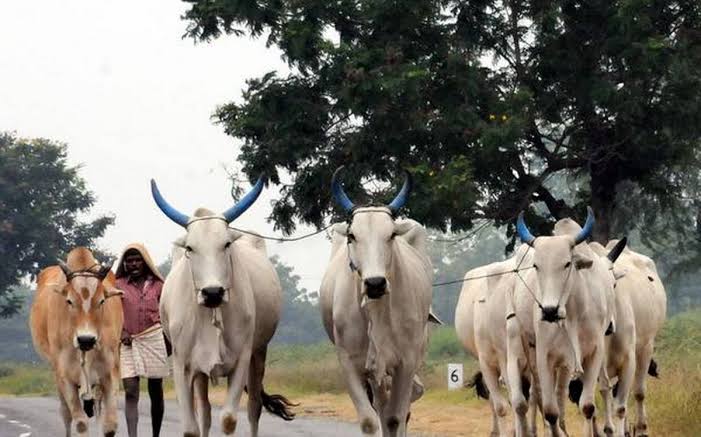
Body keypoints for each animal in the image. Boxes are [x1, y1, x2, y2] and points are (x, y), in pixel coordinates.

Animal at [29, 247, 124, 434]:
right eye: (69, 301)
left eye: (102, 301)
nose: (86, 340)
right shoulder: (65, 376)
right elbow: (80, 423)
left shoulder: (110, 373)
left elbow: (110, 425)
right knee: (66, 415)